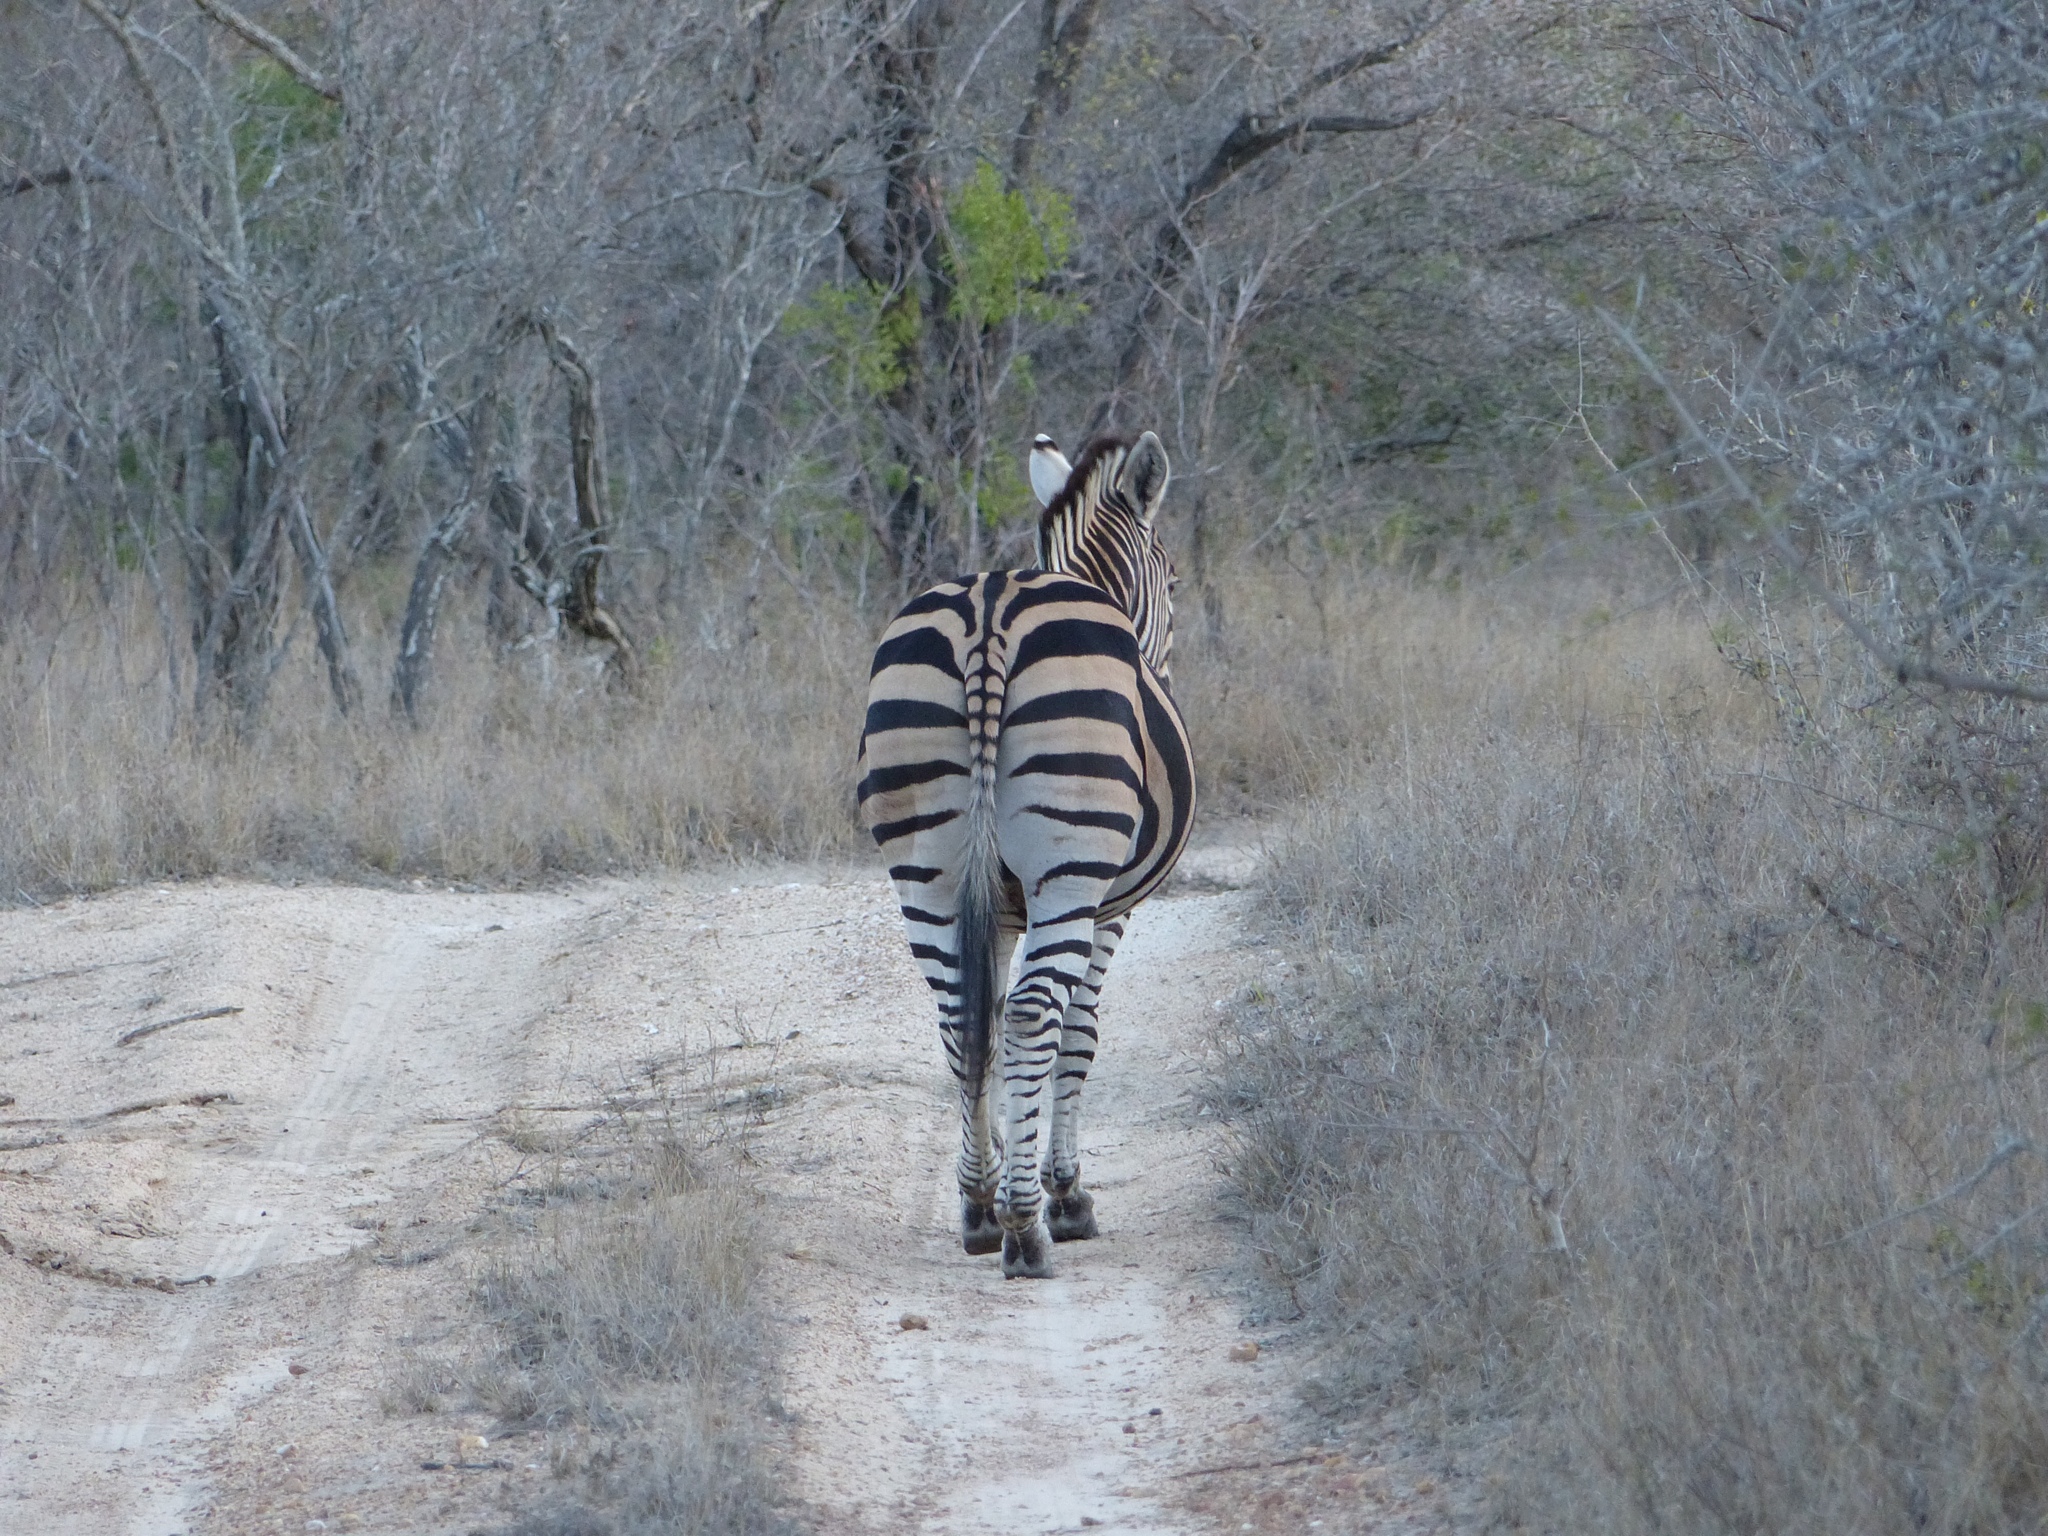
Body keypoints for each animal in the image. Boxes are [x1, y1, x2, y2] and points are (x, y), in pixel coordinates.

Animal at [857, 430, 1195, 1278]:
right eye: (1175, 578)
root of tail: (990, 611)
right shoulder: (1110, 906)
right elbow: (1077, 1031)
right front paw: (1065, 1192)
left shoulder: (1001, 910)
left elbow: (993, 1018)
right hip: (1068, 868)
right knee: (1039, 1011)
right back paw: (1024, 1229)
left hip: (927, 868)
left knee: (959, 1016)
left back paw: (981, 1210)